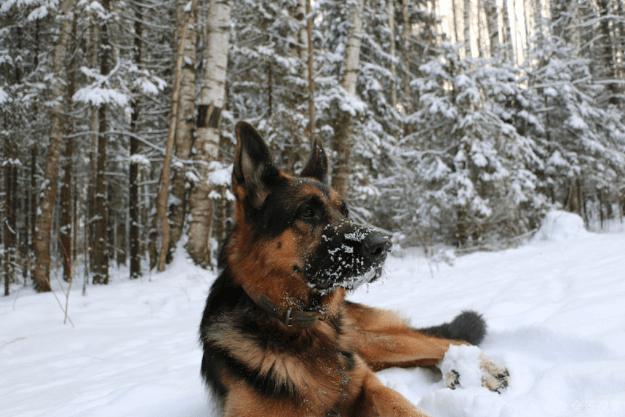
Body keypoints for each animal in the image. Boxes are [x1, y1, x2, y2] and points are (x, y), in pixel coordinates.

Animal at [200, 121, 508, 416]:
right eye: (307, 212)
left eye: (344, 211)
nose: (383, 246)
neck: (295, 322)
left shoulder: (367, 386)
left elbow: (402, 405)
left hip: (366, 341)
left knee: (446, 340)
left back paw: (478, 369)